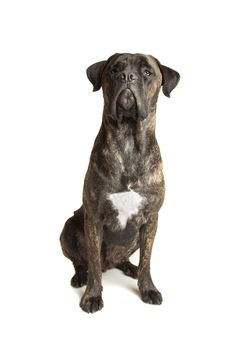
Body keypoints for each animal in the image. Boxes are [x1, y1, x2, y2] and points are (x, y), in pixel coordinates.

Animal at [59, 53, 179, 314]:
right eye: (114, 70)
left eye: (147, 72)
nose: (127, 76)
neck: (128, 141)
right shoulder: (93, 218)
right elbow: (93, 264)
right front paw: (92, 296)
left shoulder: (151, 218)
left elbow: (147, 260)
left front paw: (148, 289)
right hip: (68, 228)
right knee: (81, 262)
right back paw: (80, 276)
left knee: (126, 259)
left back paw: (130, 268)